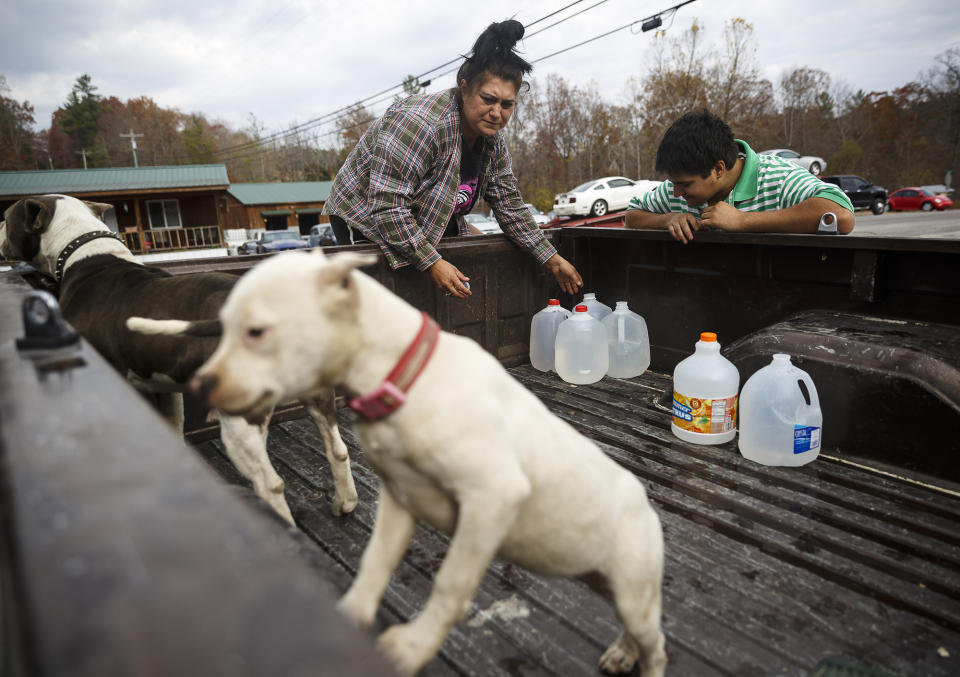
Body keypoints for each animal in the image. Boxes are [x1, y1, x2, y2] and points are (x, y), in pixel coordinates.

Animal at [0, 195, 356, 524]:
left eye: (6, 216)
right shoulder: (164, 386)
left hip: (240, 423)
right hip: (317, 394)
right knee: (338, 450)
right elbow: (174, 428)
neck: (86, 253)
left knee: (271, 485)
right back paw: (345, 502)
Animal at [182, 250, 668, 676]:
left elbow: (451, 584)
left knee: (656, 644)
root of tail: (644, 505)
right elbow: (374, 564)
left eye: (256, 332)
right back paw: (621, 653)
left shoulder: (491, 499)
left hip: (633, 585)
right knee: (636, 628)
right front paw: (351, 617)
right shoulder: (400, 501)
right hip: (610, 582)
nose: (199, 386)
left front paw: (414, 646)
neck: (404, 381)